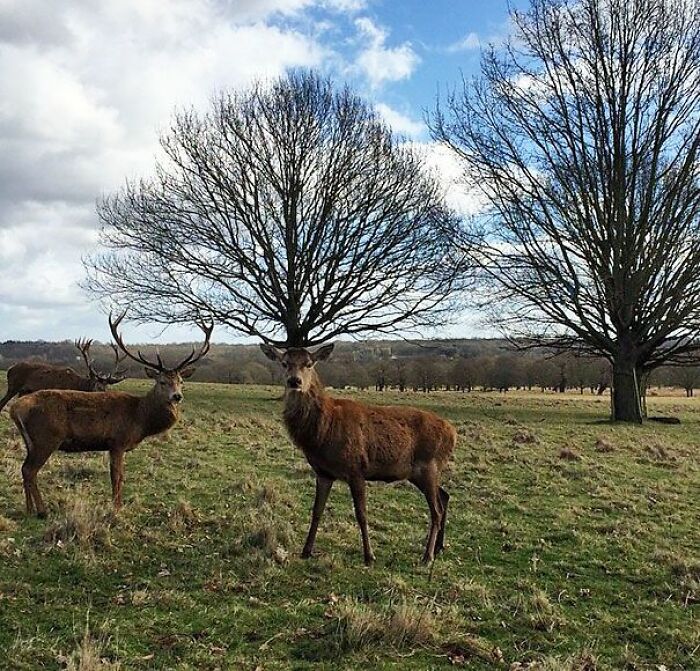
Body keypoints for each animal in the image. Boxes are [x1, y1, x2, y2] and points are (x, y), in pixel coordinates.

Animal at [9, 313, 212, 518]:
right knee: (30, 470)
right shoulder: (117, 442)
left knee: (24, 468)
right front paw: (117, 509)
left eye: (181, 381)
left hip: (31, 442)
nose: (177, 396)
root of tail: (16, 408)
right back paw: (42, 511)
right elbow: (117, 477)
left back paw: (29, 509)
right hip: (47, 437)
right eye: (162, 381)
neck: (140, 418)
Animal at [260, 343, 457, 565]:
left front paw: (369, 556)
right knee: (445, 496)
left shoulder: (356, 468)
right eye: (284, 363)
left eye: (309, 363)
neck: (323, 431)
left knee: (436, 510)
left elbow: (361, 514)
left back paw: (427, 556)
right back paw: (439, 548)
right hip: (421, 472)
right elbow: (317, 510)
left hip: (429, 465)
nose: (294, 381)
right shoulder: (323, 472)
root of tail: (453, 433)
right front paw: (306, 551)